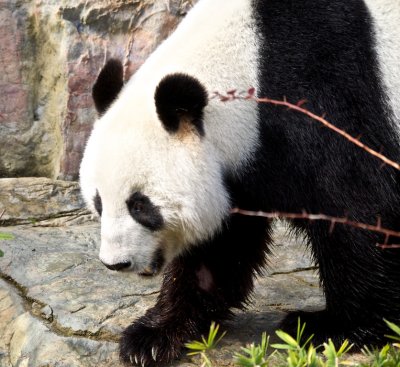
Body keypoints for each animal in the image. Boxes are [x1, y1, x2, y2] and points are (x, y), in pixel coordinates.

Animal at [79, 0, 400, 366]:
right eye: (99, 203)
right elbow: (221, 247)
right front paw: (151, 338)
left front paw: (332, 328)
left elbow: (359, 210)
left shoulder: (327, 95)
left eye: (140, 206)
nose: (116, 263)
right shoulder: (242, 168)